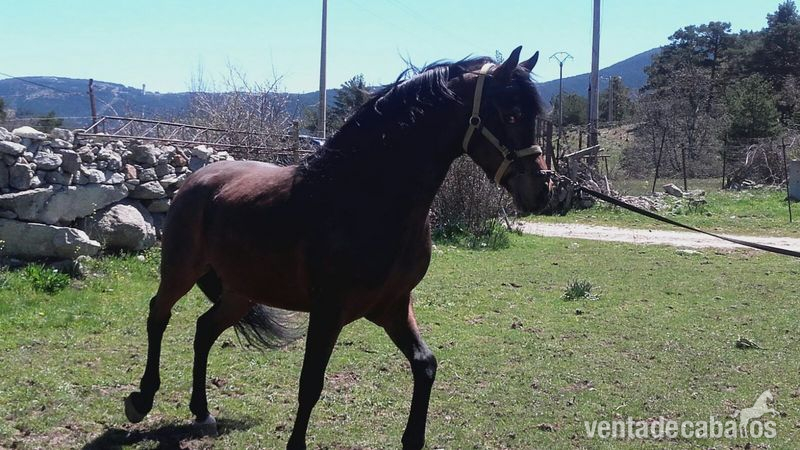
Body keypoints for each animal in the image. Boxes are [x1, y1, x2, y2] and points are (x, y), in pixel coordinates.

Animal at [124, 46, 553, 450]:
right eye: (511, 115)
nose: (541, 190)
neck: (363, 198)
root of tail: (198, 178)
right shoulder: (328, 311)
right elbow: (311, 383)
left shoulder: (393, 306)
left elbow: (425, 365)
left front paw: (412, 438)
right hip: (181, 271)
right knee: (158, 315)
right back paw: (141, 400)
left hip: (240, 291)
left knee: (204, 330)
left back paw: (202, 412)